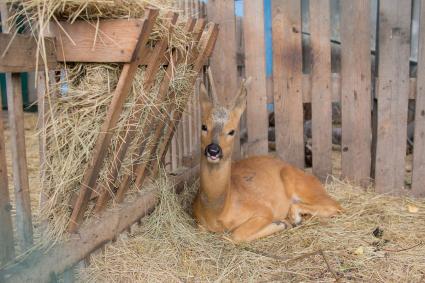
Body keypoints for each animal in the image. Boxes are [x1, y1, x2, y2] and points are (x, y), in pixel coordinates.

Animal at [192, 76, 342, 244]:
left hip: (302, 186)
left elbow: (236, 235)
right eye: (204, 126)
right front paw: (282, 223)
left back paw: (293, 218)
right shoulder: (198, 222)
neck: (217, 212)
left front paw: (280, 223)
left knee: (336, 205)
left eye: (232, 131)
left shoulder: (263, 210)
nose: (213, 150)